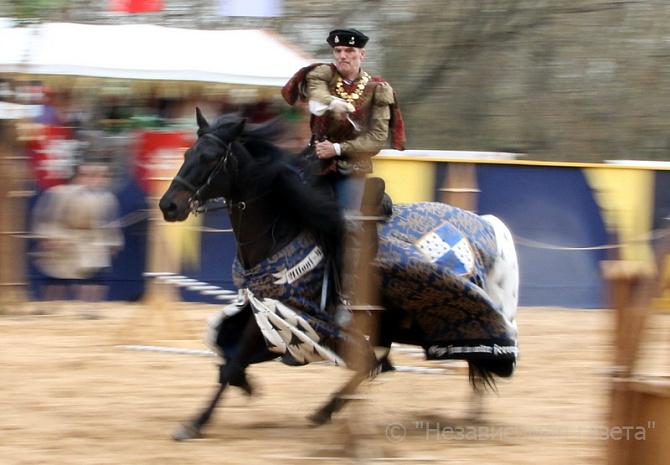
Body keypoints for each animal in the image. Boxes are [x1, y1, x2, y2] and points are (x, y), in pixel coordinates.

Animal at [158, 109, 520, 438]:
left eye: (210, 157)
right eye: (187, 153)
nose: (168, 206)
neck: (282, 229)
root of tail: (487, 224)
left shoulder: (284, 311)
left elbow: (234, 363)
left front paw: (194, 424)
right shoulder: (261, 307)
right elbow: (231, 361)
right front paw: (240, 390)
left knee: (377, 365)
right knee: (378, 365)